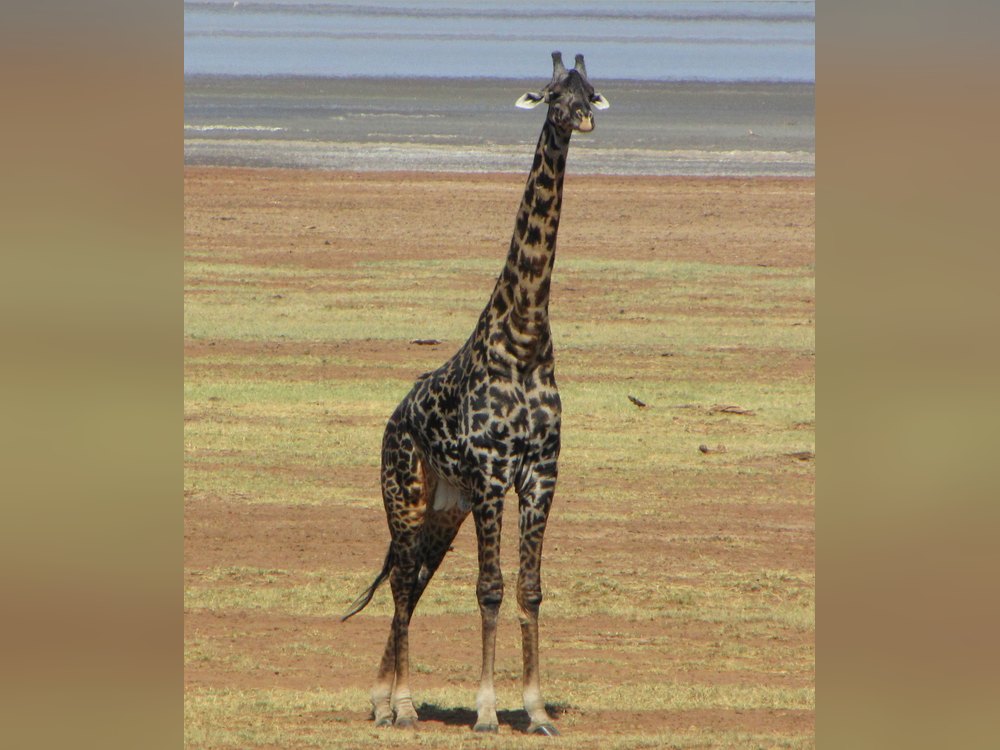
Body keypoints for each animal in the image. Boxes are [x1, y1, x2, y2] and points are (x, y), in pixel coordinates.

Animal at [341, 51, 609, 736]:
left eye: (590, 89)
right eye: (551, 94)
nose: (584, 119)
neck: (525, 338)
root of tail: (392, 419)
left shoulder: (540, 472)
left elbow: (529, 588)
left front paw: (536, 710)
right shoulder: (492, 474)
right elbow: (489, 588)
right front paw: (488, 711)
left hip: (446, 508)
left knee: (413, 583)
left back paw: (384, 698)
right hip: (406, 497)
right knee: (402, 584)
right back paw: (399, 706)